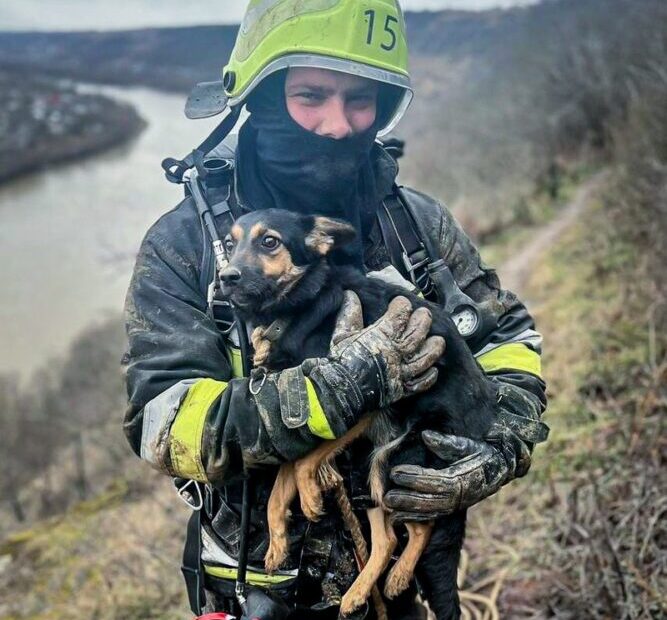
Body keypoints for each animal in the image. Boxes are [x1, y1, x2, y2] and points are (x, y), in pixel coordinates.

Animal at [222, 209, 498, 620]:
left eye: (269, 241)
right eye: (228, 243)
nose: (226, 277)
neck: (299, 306)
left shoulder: (356, 406)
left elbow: (301, 465)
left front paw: (309, 496)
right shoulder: (303, 416)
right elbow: (280, 483)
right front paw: (277, 543)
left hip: (402, 462)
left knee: (421, 526)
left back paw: (396, 578)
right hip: (371, 473)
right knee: (386, 539)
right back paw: (356, 594)